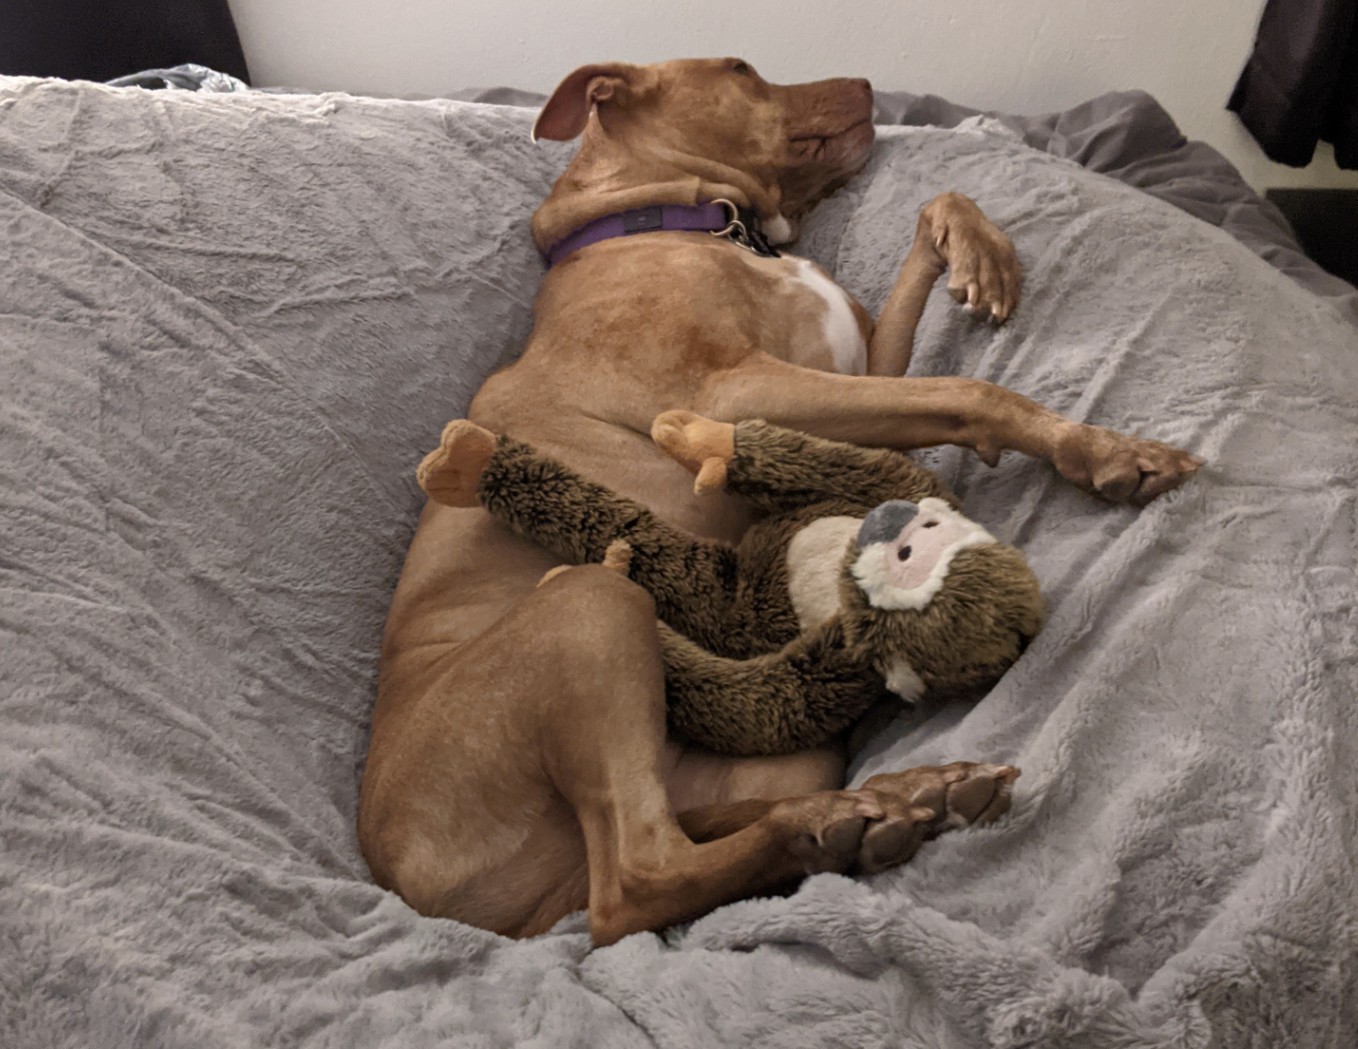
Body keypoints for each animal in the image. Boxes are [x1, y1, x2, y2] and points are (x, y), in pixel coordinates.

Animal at [358, 57, 1200, 945]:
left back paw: (897, 800)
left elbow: (933, 220)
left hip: (769, 754)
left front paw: (979, 250)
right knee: (636, 885)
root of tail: (409, 880)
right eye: (741, 68)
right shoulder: (738, 393)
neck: (700, 222)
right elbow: (969, 389)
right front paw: (1106, 451)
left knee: (693, 835)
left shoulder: (859, 368)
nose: (869, 83)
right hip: (586, 606)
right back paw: (832, 824)